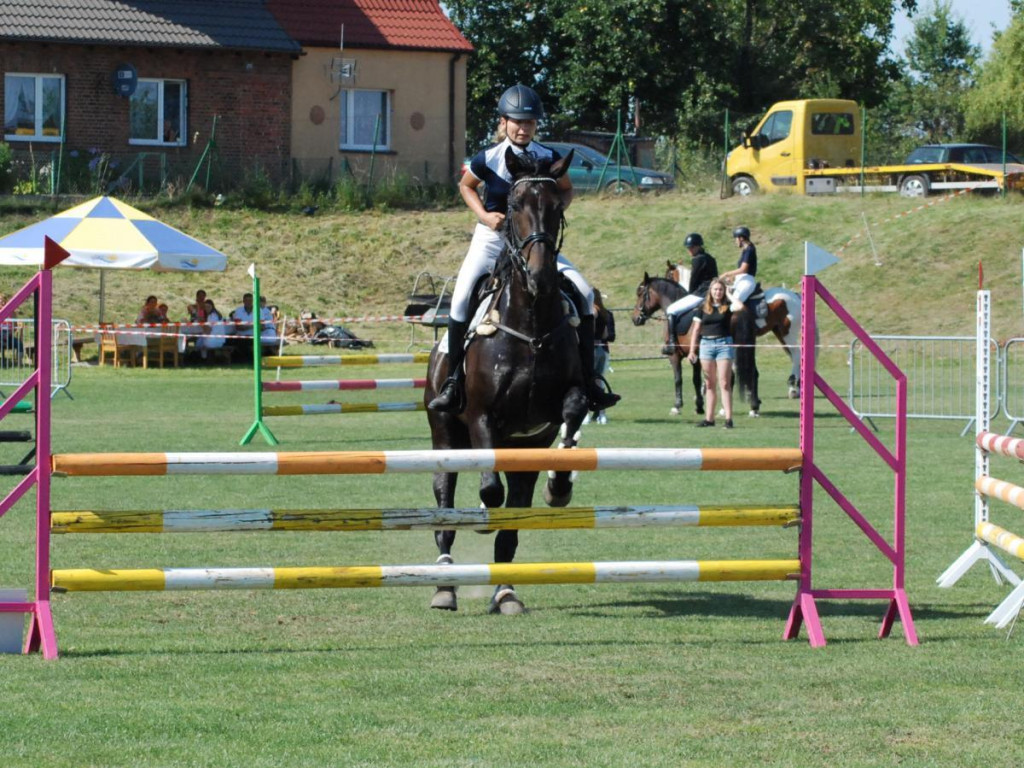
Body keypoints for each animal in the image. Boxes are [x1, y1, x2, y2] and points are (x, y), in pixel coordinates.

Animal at [421, 150, 585, 618]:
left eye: (556, 207)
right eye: (513, 206)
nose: (541, 277)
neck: (531, 321)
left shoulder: (551, 418)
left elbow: (573, 412)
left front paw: (559, 488)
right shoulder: (481, 416)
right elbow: (491, 490)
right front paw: (481, 510)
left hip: (522, 448)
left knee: (512, 521)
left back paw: (506, 592)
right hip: (445, 434)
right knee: (446, 504)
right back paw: (444, 586)